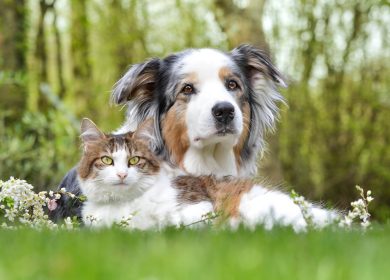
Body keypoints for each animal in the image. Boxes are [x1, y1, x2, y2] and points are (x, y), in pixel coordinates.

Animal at [55, 117, 338, 231]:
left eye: (134, 160)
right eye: (107, 160)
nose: (123, 175)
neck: (124, 207)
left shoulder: (198, 207)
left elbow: (171, 224)